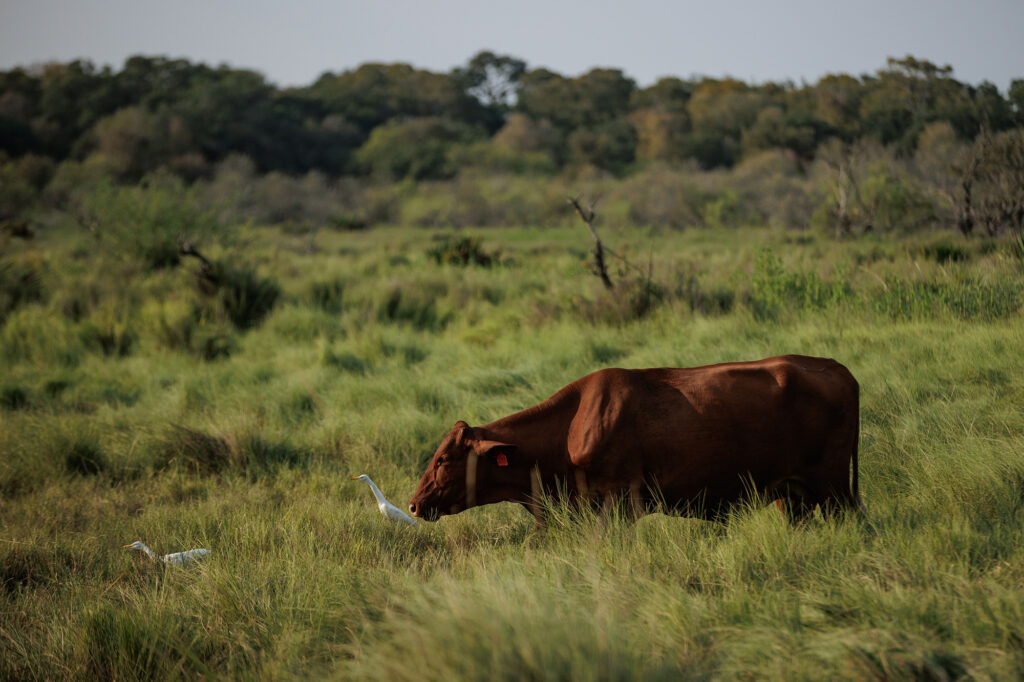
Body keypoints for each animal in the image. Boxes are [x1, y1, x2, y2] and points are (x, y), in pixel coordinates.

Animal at [408, 355, 860, 525]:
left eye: (443, 459)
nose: (412, 504)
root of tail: (835, 367)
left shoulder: (618, 503)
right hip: (793, 494)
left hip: (835, 487)